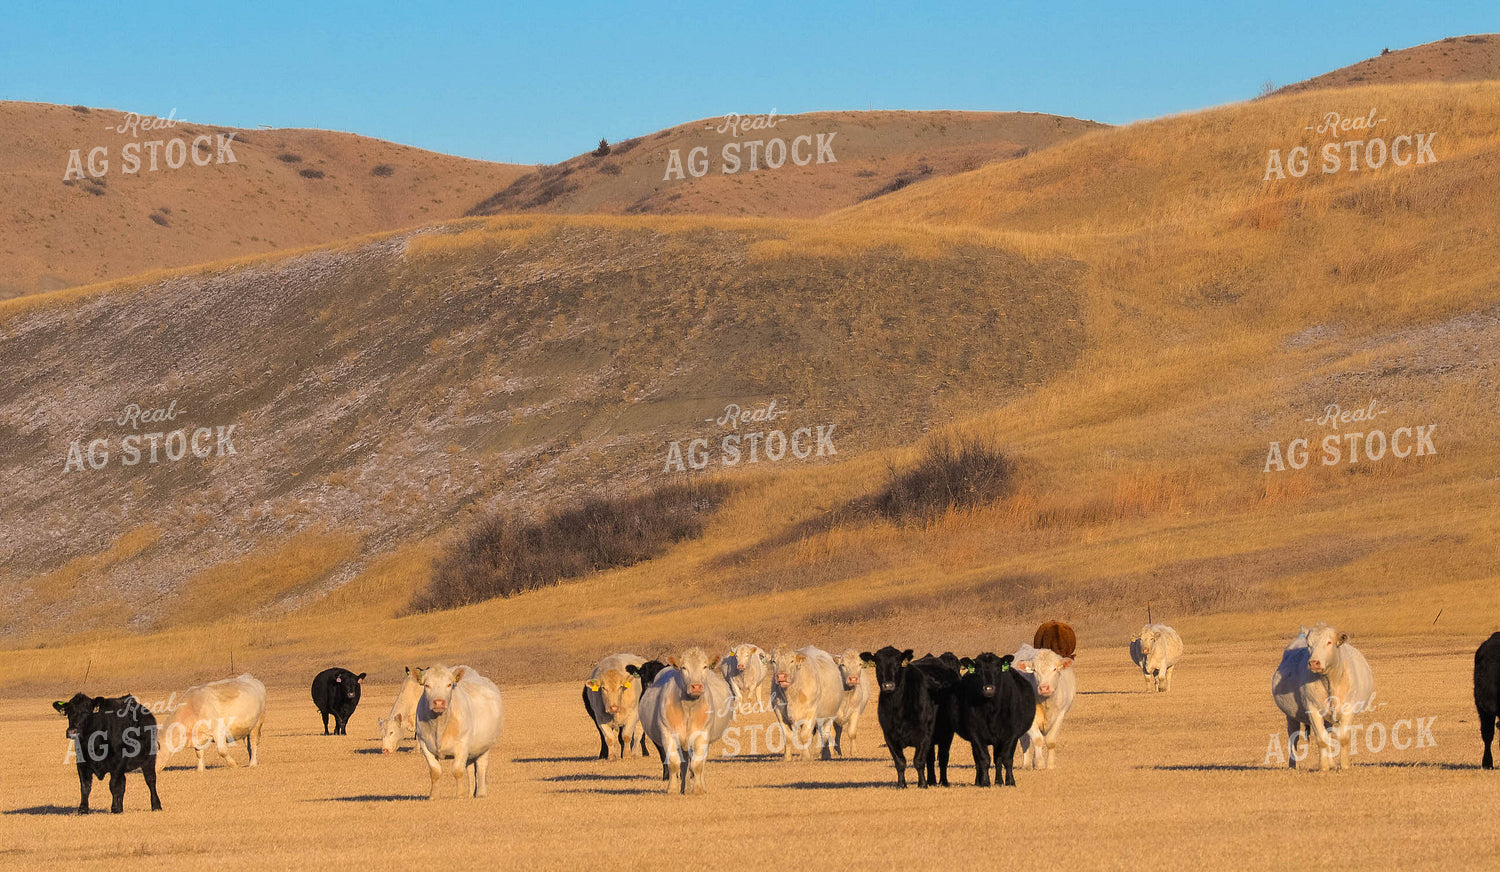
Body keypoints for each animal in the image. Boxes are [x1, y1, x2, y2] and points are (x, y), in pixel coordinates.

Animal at [413, 664, 504, 798]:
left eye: (449, 684)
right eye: (427, 685)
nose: (439, 702)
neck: (439, 726)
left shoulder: (462, 744)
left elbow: (457, 770)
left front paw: (460, 795)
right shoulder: (424, 743)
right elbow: (435, 771)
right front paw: (433, 796)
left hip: (485, 746)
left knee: (481, 767)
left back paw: (481, 793)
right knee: (470, 770)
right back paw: (471, 794)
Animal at [637, 648, 735, 794]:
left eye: (704, 666)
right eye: (684, 667)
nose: (696, 686)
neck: (689, 708)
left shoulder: (702, 735)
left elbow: (697, 765)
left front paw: (698, 789)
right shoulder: (668, 734)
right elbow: (673, 763)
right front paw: (672, 789)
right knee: (684, 765)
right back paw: (684, 787)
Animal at [860, 646, 956, 788]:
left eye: (898, 663)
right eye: (877, 662)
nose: (888, 685)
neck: (898, 709)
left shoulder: (925, 734)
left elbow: (919, 761)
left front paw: (922, 784)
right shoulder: (889, 735)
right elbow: (900, 762)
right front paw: (901, 785)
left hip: (947, 733)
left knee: (943, 757)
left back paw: (943, 782)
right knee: (931, 759)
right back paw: (932, 781)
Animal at [954, 653, 1035, 786]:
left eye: (997, 669)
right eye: (978, 671)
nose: (988, 689)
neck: (991, 711)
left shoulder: (1012, 734)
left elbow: (1006, 759)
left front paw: (1010, 781)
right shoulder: (975, 734)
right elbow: (983, 759)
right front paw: (985, 782)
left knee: (998, 759)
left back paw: (999, 781)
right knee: (979, 760)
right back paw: (979, 782)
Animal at [1272, 624, 1375, 771]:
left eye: (1329, 642)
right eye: (1309, 644)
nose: (1314, 662)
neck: (1329, 681)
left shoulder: (1348, 709)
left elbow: (1343, 738)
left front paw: (1344, 765)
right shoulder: (1312, 710)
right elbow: (1321, 739)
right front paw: (1324, 767)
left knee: (1328, 734)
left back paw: (1332, 762)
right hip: (1290, 716)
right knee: (1293, 737)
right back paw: (1293, 765)